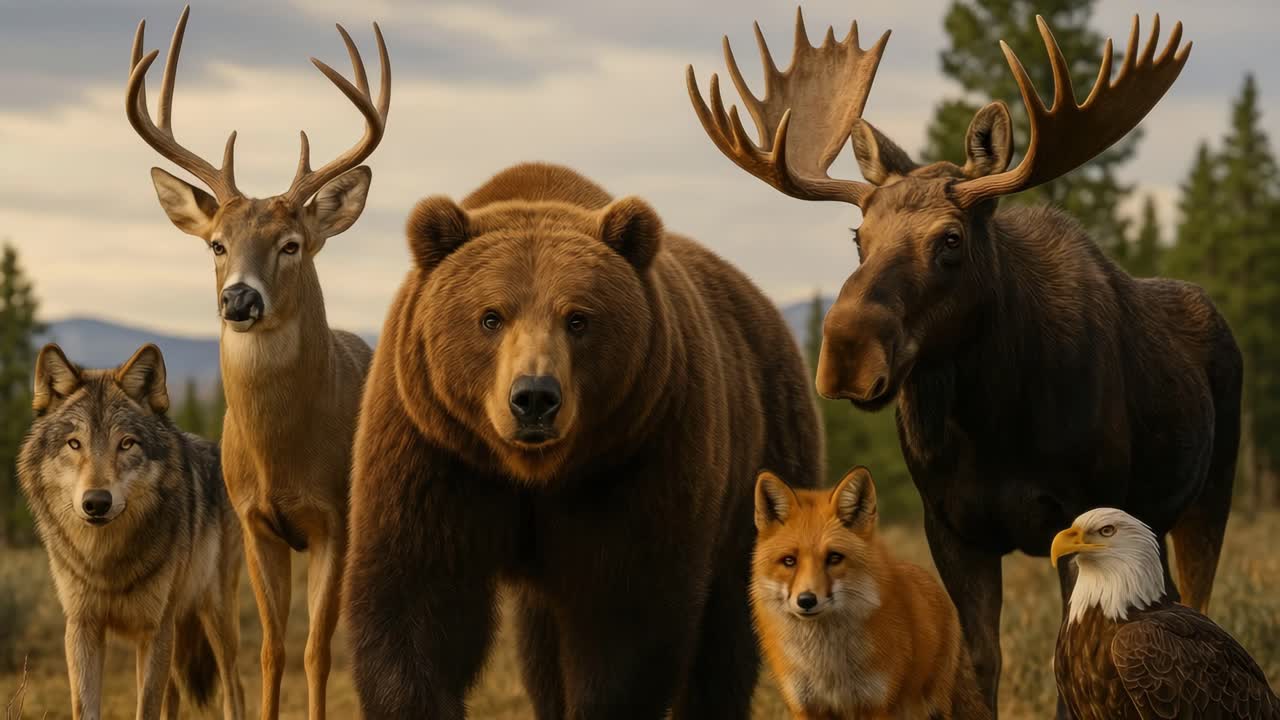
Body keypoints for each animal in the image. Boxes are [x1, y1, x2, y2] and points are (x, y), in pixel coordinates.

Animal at [17, 343, 245, 720]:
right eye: (74, 444)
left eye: (126, 444)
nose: (96, 502)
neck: (107, 559)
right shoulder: (82, 628)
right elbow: (87, 708)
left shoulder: (153, 630)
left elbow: (146, 706)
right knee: (173, 697)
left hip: (216, 617)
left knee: (233, 689)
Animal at [125, 7, 389, 719]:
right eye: (217, 244)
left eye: (292, 244)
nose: (239, 298)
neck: (284, 455)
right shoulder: (254, 523)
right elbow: (270, 651)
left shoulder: (336, 520)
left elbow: (317, 653)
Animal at [342, 162, 822, 718]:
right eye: (490, 316)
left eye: (578, 318)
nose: (533, 397)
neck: (533, 471)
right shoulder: (435, 450)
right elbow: (414, 606)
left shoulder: (637, 458)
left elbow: (625, 626)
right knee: (543, 649)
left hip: (764, 460)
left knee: (728, 637)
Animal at [751, 466, 989, 720]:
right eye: (789, 561)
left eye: (834, 558)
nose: (806, 600)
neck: (829, 667)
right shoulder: (806, 707)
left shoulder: (876, 704)